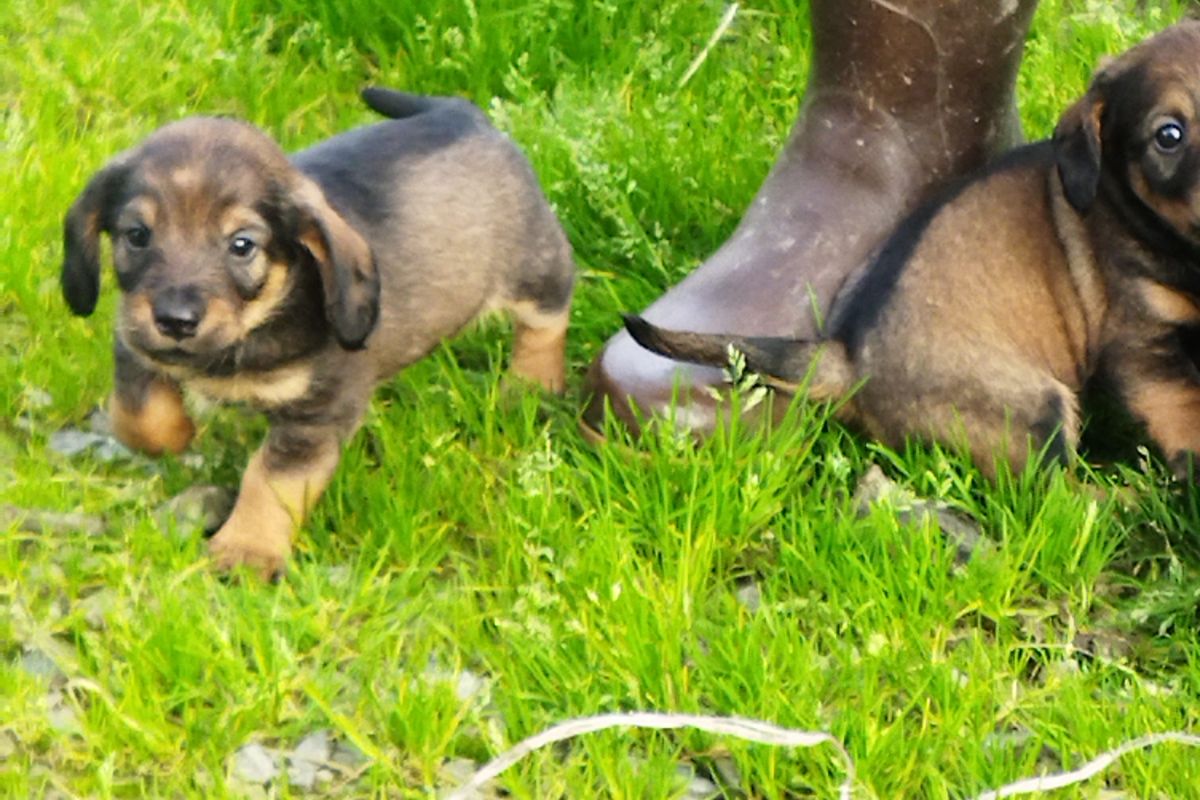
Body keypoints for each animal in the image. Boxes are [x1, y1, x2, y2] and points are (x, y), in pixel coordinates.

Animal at [60, 86, 576, 575]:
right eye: (136, 235)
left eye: (242, 245)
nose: (175, 319)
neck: (255, 326)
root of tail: (461, 115)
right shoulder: (134, 345)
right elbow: (140, 418)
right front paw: (179, 433)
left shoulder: (316, 416)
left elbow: (270, 482)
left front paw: (246, 550)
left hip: (536, 270)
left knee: (549, 319)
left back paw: (531, 384)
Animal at [624, 21, 1200, 479]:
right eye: (1168, 136)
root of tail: (848, 359)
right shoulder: (1141, 348)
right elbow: (1182, 409)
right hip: (1033, 404)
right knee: (1052, 494)